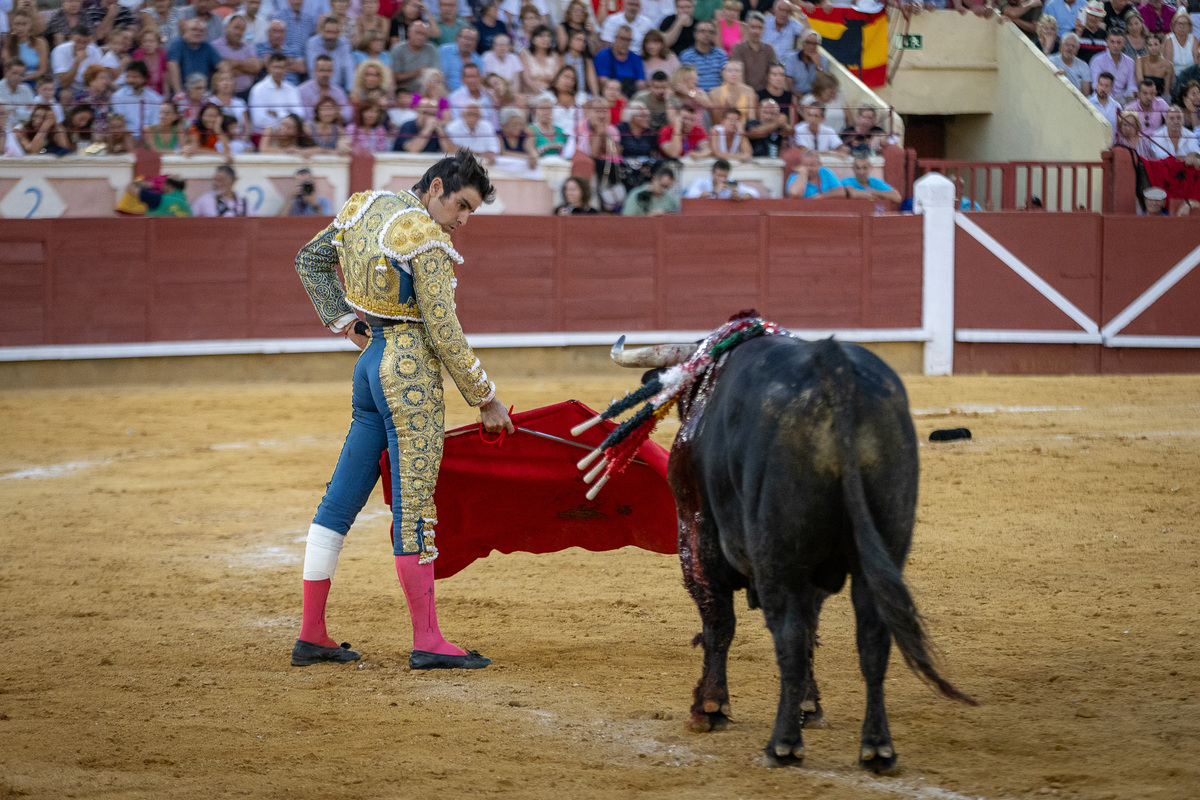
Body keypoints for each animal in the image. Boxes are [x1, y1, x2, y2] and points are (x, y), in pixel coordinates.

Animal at [633, 335, 969, 772]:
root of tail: (835, 368)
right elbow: (812, 628)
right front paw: (810, 706)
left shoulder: (696, 530)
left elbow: (719, 623)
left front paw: (709, 708)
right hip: (882, 548)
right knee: (873, 638)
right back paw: (877, 748)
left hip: (781, 562)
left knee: (789, 637)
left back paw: (783, 744)